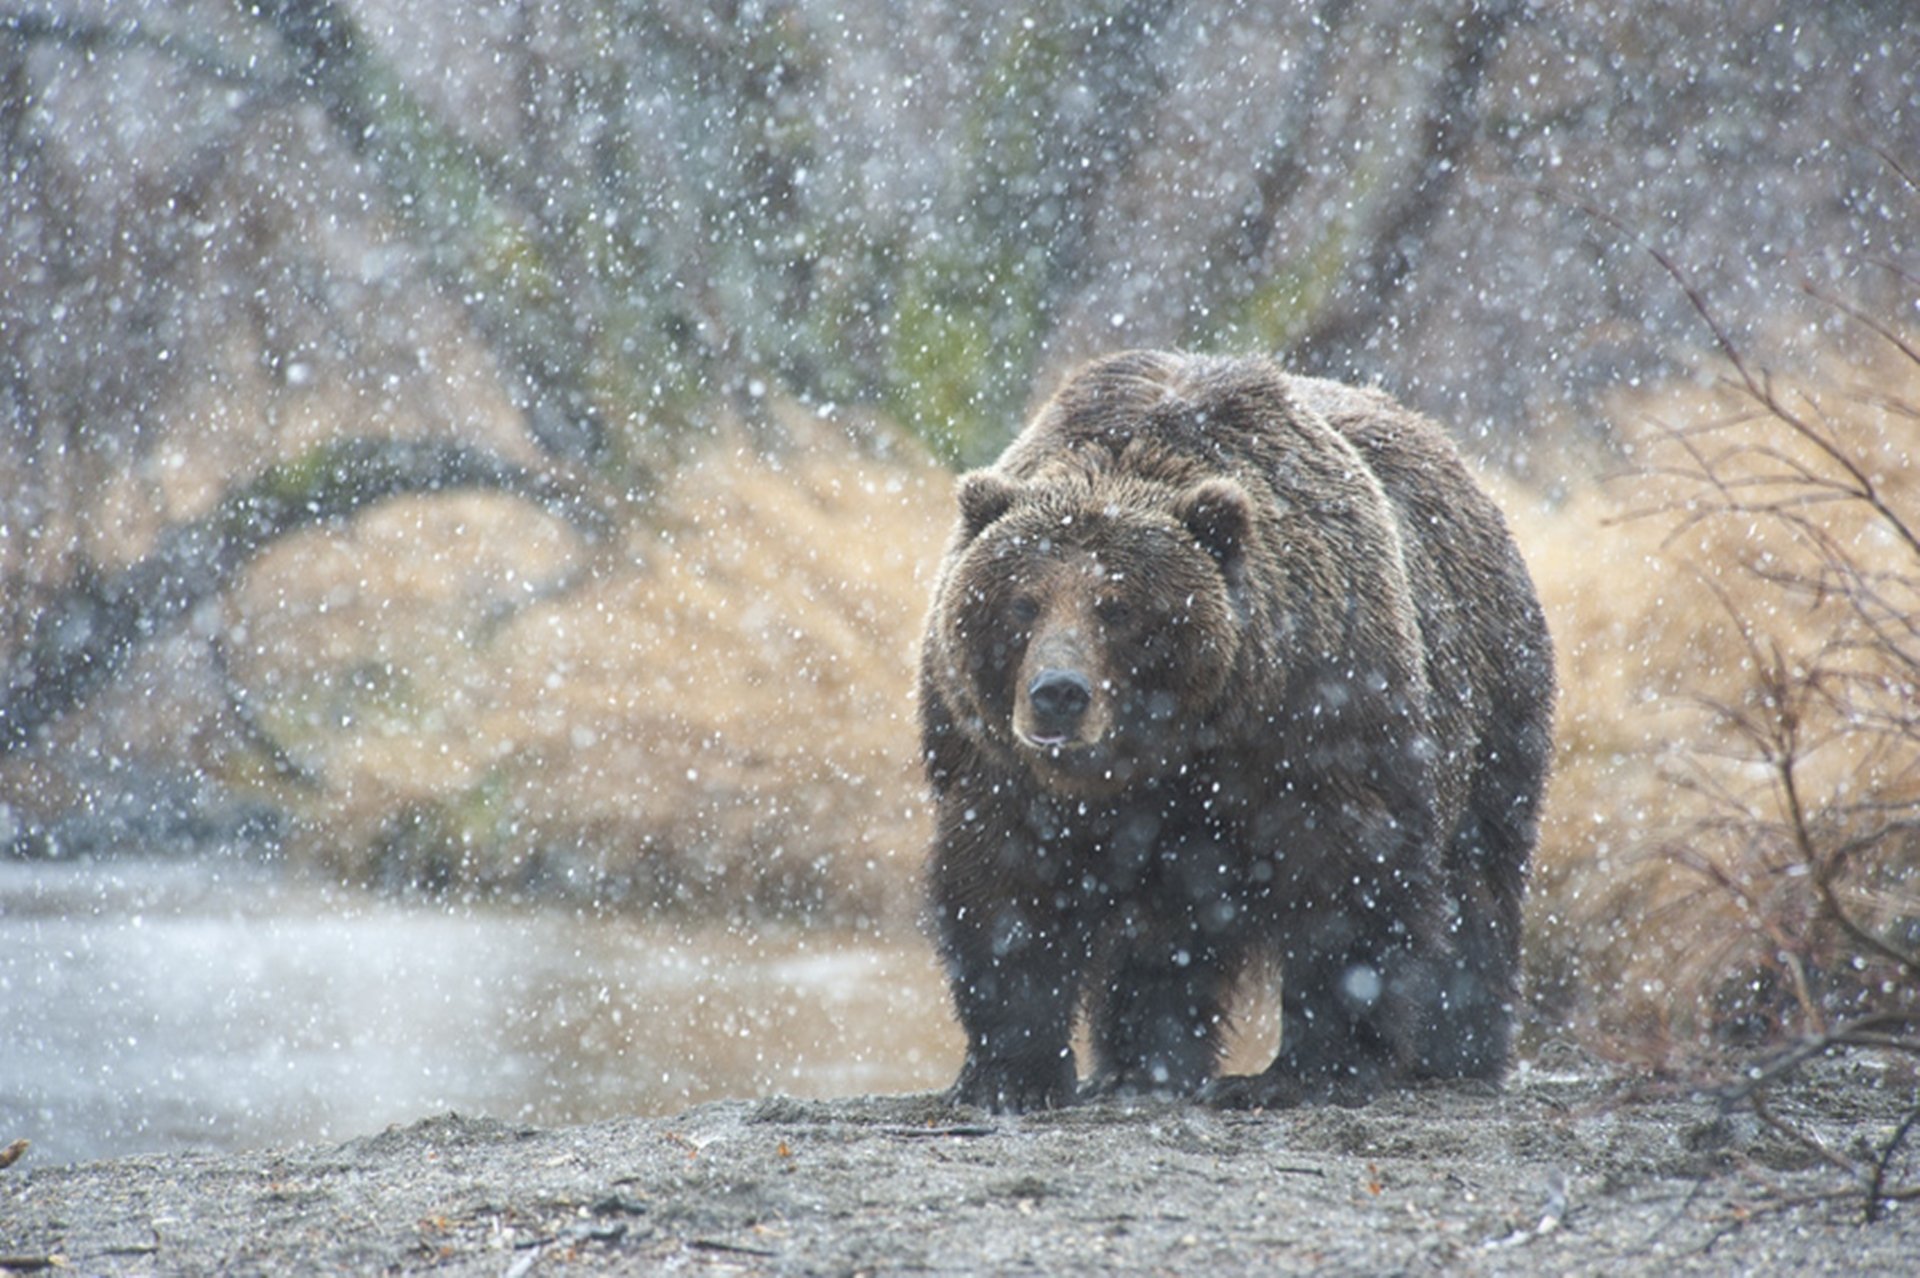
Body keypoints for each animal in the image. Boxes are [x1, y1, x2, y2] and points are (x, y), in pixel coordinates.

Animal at [917, 345, 1559, 1105]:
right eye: (1022, 602)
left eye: (1118, 607)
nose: (1058, 695)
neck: (1169, 744)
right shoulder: (998, 763)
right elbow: (1005, 889)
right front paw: (1011, 1075)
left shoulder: (1318, 711)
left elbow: (1346, 879)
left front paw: (1309, 1069)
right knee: (1168, 932)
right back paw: (1141, 1066)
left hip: (1492, 696)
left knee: (1477, 878)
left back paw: (1457, 1051)